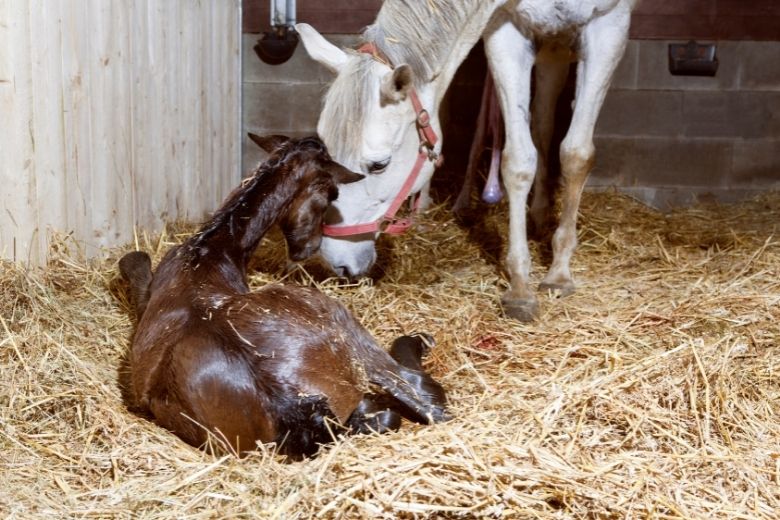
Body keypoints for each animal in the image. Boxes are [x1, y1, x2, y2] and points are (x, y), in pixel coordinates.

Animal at [119, 136, 448, 458]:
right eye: (331, 195)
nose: (308, 248)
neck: (208, 252)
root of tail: (287, 401)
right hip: (338, 320)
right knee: (417, 391)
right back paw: (419, 342)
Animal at [296, 0, 636, 318]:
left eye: (380, 165)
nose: (335, 259)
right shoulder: (506, 27)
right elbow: (519, 160)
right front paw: (520, 288)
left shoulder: (610, 23)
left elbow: (576, 154)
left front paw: (559, 274)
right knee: (541, 126)